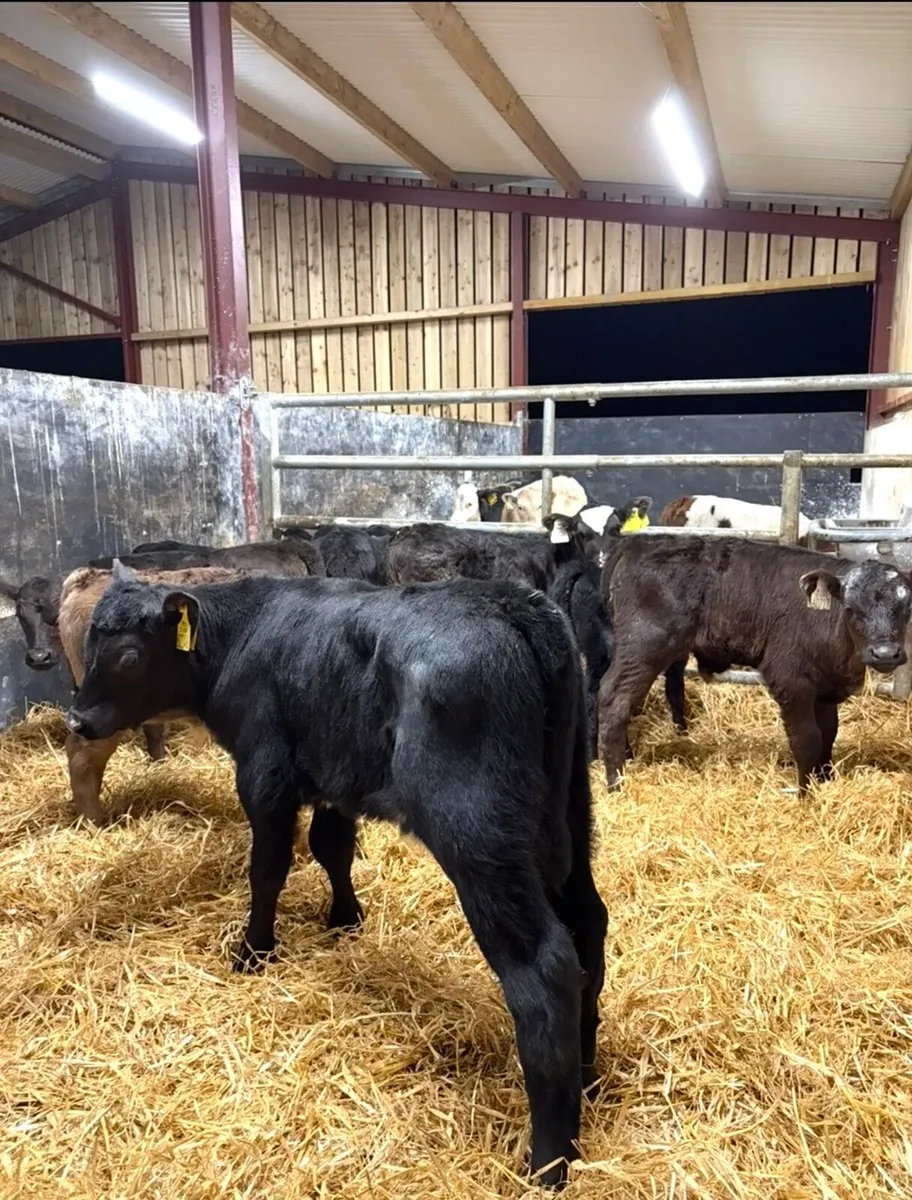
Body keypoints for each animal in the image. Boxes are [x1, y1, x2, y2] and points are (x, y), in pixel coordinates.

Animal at [66, 564, 609, 1187]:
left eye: (129, 656)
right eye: (90, 648)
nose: (77, 719)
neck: (245, 632)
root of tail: (510, 602)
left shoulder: (264, 773)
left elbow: (269, 868)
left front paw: (254, 951)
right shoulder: (334, 774)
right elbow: (332, 847)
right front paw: (345, 919)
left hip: (479, 834)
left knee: (543, 968)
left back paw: (548, 1161)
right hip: (569, 814)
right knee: (588, 922)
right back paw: (587, 1079)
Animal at [596, 533, 912, 794]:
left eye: (906, 607)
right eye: (849, 608)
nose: (885, 653)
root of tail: (636, 543)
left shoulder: (824, 688)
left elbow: (828, 735)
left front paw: (825, 783)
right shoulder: (790, 681)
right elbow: (807, 739)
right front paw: (805, 795)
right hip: (643, 647)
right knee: (614, 698)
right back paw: (616, 783)